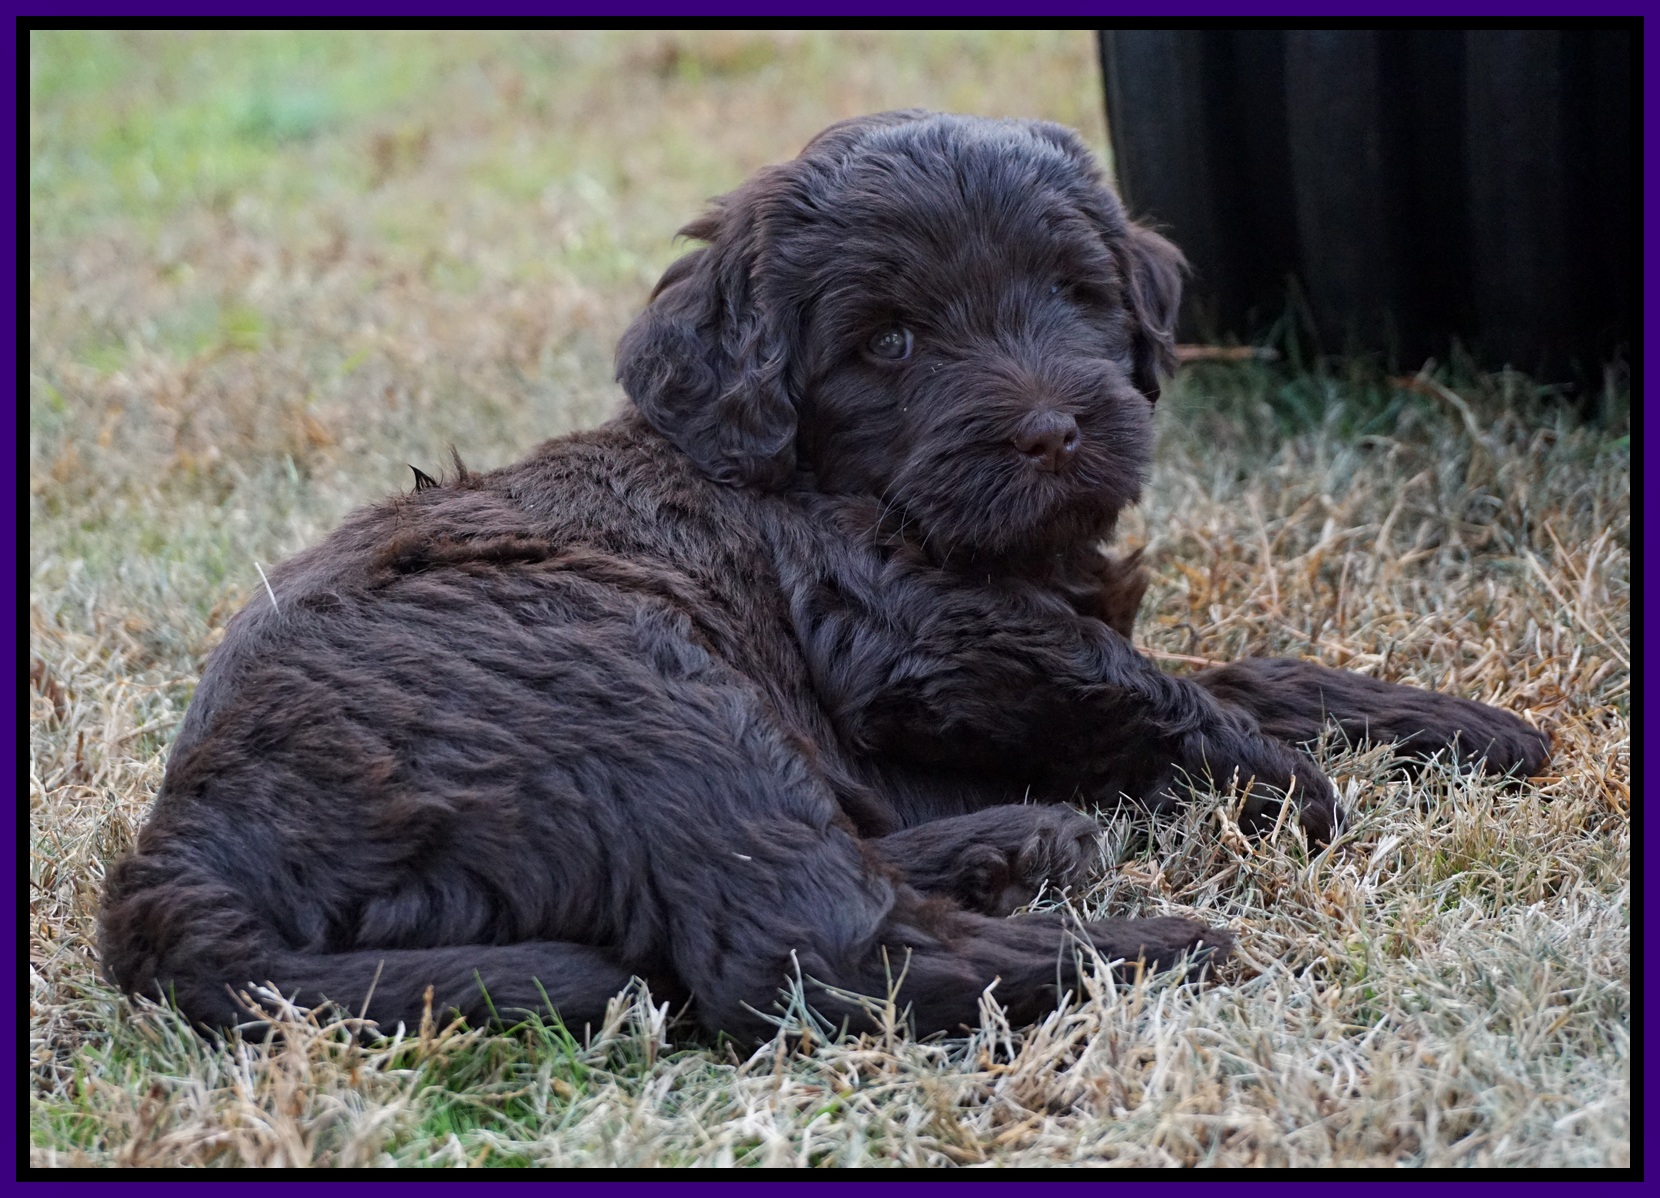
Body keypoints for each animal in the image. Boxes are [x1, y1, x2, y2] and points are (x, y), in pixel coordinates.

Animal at [100, 111, 1550, 1042]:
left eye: (1074, 296)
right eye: (891, 343)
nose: (1053, 430)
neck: (836, 482)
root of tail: (182, 865)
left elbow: (1239, 666)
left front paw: (1458, 725)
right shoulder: (918, 632)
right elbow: (1140, 684)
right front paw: (1290, 788)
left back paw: (1014, 843)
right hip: (628, 676)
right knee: (807, 949)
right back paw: (1146, 945)